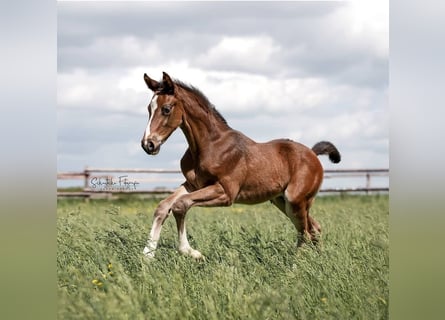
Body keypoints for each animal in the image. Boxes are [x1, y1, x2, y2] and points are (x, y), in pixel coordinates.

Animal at [140, 71, 340, 258]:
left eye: (166, 109)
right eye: (149, 109)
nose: (148, 144)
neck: (210, 144)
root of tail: (313, 154)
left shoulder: (226, 192)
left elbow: (180, 205)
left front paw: (192, 252)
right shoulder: (193, 184)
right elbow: (163, 206)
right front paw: (147, 255)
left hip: (295, 200)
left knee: (304, 232)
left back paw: (295, 264)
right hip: (282, 200)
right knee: (313, 228)